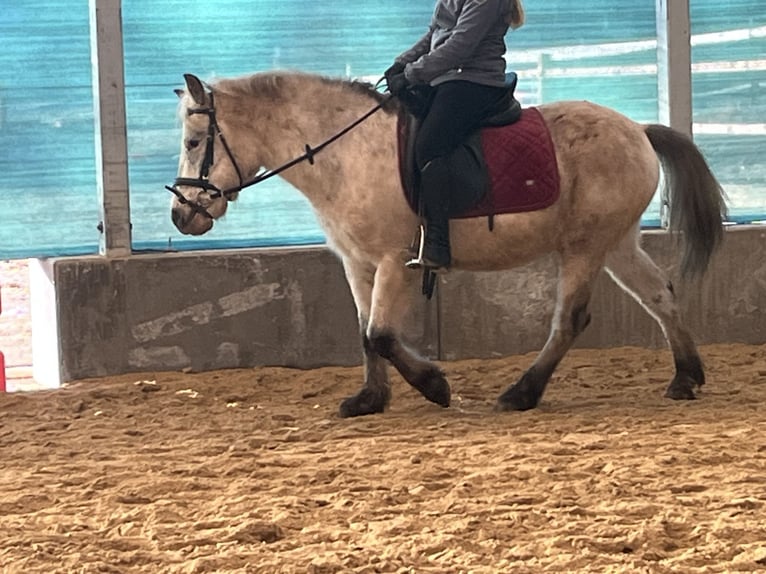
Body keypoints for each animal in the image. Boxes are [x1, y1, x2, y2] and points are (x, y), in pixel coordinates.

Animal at [168, 71, 727, 418]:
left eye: (194, 142)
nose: (180, 215)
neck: (347, 153)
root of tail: (637, 129)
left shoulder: (396, 260)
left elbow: (382, 335)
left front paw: (434, 386)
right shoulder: (357, 263)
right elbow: (364, 333)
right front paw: (369, 399)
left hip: (585, 248)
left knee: (570, 320)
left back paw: (521, 393)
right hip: (615, 243)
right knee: (660, 295)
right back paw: (685, 378)